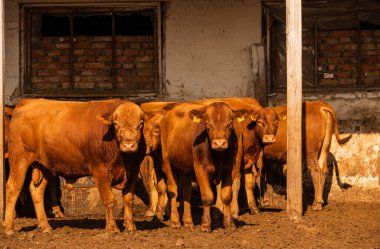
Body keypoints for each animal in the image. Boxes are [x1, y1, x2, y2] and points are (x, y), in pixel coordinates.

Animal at [4, 98, 147, 234]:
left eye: (140, 123)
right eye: (116, 124)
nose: (128, 145)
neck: (124, 159)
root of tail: (27, 102)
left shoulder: (133, 171)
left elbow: (128, 199)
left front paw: (130, 226)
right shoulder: (100, 170)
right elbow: (109, 200)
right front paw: (112, 228)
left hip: (43, 165)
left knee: (36, 190)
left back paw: (45, 226)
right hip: (19, 159)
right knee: (12, 188)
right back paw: (9, 227)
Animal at [157, 101, 249, 231]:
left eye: (230, 123)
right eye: (208, 124)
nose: (219, 143)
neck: (218, 156)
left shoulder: (230, 168)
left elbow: (226, 196)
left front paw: (229, 223)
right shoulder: (200, 168)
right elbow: (207, 196)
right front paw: (205, 224)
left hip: (186, 168)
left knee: (186, 191)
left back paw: (188, 222)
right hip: (168, 162)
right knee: (173, 190)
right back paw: (175, 221)